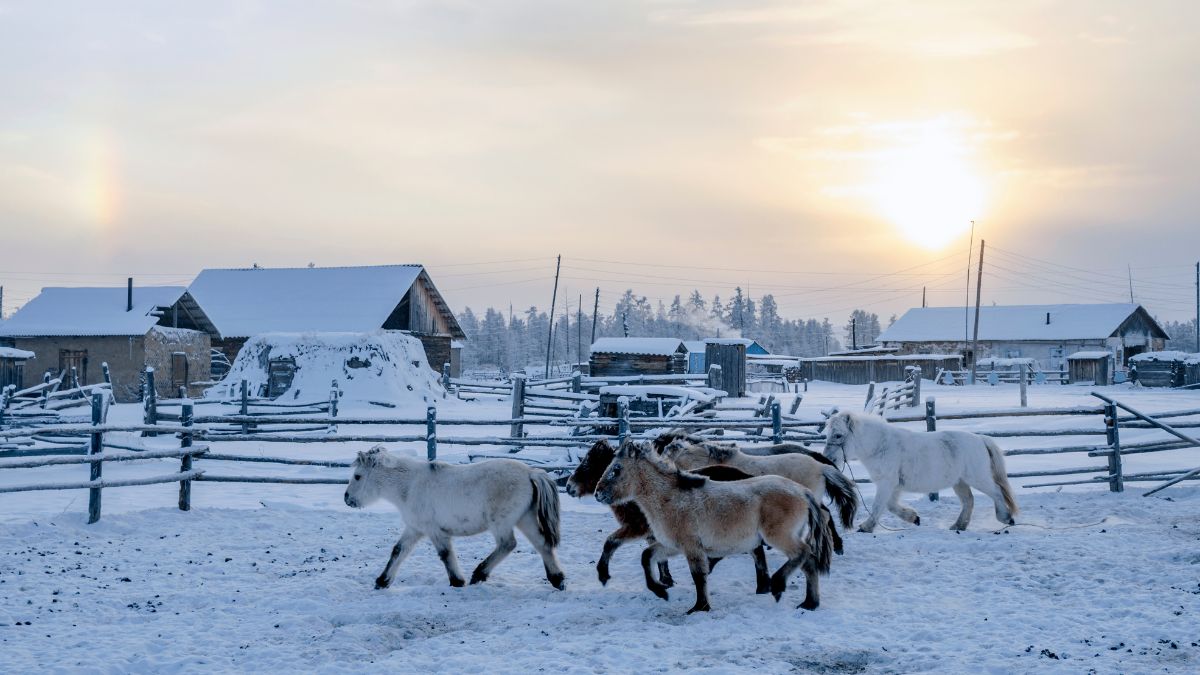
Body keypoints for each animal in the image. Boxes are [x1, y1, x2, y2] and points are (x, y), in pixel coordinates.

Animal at [343, 446, 566, 588]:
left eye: (357, 476)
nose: (347, 498)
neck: (409, 486)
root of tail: (530, 472)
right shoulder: (414, 529)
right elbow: (398, 551)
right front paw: (382, 581)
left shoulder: (435, 531)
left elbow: (445, 555)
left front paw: (457, 581)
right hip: (525, 519)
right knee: (542, 544)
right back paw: (557, 579)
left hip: (501, 523)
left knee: (508, 544)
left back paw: (479, 574)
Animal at [566, 437, 772, 588]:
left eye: (588, 464)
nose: (569, 487)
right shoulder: (655, 533)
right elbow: (659, 557)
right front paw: (666, 579)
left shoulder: (636, 528)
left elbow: (610, 542)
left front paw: (603, 574)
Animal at [592, 439, 835, 612]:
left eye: (616, 469)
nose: (598, 493)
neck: (670, 498)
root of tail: (802, 492)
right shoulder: (672, 546)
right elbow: (646, 557)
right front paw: (661, 592)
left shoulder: (691, 547)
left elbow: (699, 576)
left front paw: (700, 607)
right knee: (809, 563)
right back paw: (809, 603)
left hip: (779, 536)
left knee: (804, 553)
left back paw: (778, 586)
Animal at [825, 410, 1022, 530]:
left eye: (838, 435)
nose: (828, 458)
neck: (881, 445)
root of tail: (981, 439)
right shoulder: (894, 485)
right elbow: (890, 506)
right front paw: (913, 518)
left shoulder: (887, 483)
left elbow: (878, 505)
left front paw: (866, 527)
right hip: (960, 482)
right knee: (968, 501)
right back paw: (958, 526)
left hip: (978, 478)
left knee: (996, 492)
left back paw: (1006, 518)